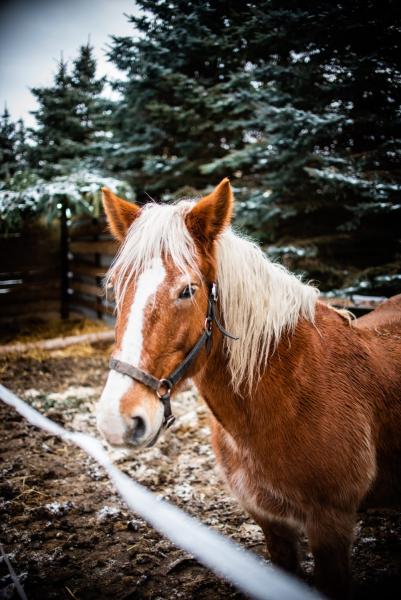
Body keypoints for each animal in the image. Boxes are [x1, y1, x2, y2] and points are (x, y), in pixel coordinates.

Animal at [97, 179, 400, 600]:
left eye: (188, 290)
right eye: (115, 287)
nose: (117, 419)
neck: (292, 395)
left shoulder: (331, 525)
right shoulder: (271, 523)